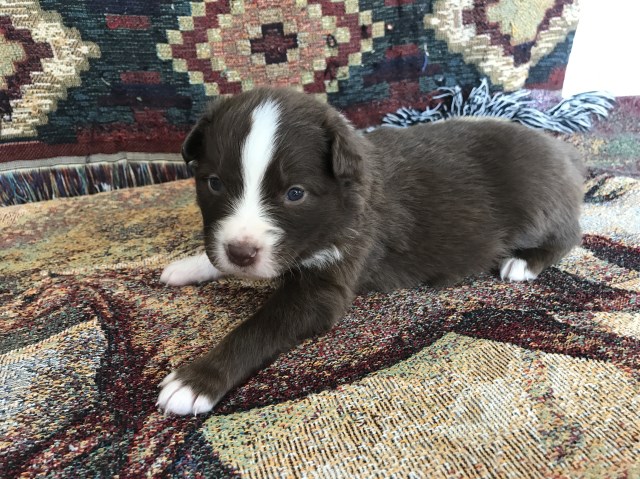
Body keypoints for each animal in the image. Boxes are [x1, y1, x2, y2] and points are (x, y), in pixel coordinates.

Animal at [156, 87, 584, 416]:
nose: (241, 253)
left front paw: (197, 380)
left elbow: (260, 325)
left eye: (295, 193)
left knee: (570, 234)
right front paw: (189, 266)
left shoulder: (330, 277)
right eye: (214, 184)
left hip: (535, 207)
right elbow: (216, 258)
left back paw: (525, 262)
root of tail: (560, 150)